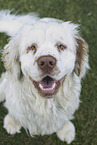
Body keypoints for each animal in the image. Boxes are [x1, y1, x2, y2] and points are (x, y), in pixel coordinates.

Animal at [0, 10, 89, 144]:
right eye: (32, 47)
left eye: (61, 46)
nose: (46, 62)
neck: (44, 104)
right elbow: (14, 110)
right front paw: (12, 122)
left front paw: (65, 129)